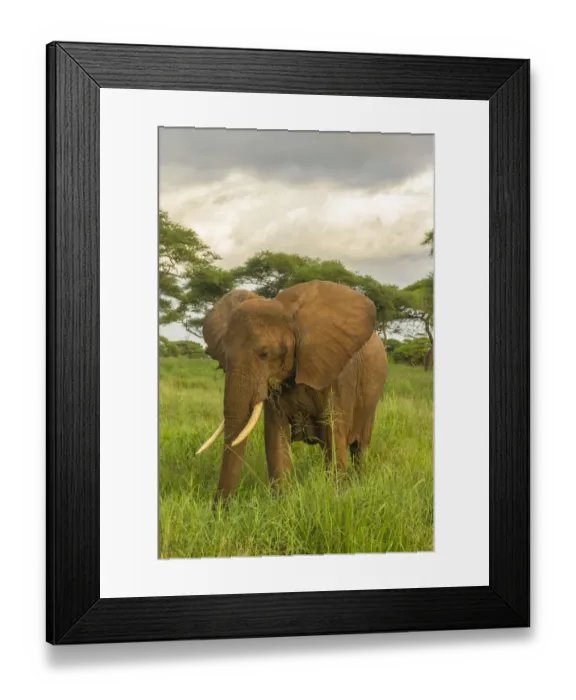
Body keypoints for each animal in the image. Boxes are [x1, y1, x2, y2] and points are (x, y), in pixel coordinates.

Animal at [195, 280, 389, 501]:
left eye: (264, 354)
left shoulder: (339, 375)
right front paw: (282, 501)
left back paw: (360, 481)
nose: (219, 507)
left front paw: (338, 496)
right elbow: (275, 436)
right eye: (224, 358)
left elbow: (334, 432)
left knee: (360, 446)